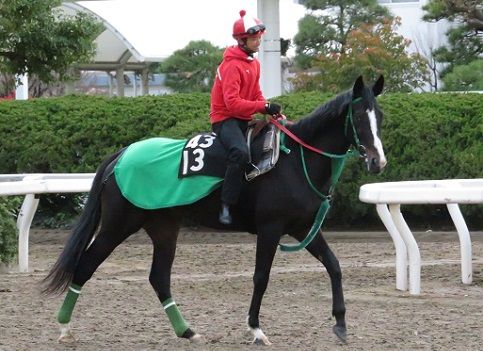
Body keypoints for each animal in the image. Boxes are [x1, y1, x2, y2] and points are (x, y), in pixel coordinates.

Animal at [42, 75, 390, 346]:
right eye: (360, 117)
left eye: (381, 117)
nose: (378, 161)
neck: (294, 160)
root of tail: (122, 154)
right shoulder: (271, 228)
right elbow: (261, 277)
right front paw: (256, 329)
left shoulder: (303, 228)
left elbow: (334, 265)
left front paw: (341, 323)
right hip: (118, 225)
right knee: (85, 266)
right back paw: (64, 329)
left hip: (164, 228)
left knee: (159, 278)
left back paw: (188, 331)